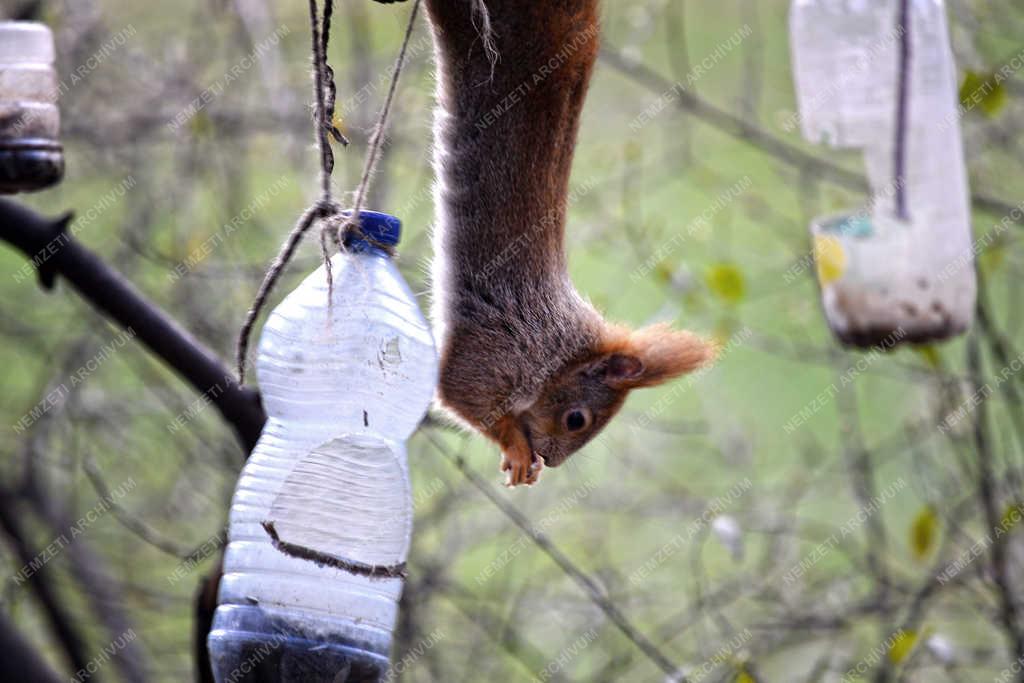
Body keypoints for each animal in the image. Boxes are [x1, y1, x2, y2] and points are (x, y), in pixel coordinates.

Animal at [411, 2, 716, 489]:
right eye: (577, 420)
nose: (552, 461)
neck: (557, 347)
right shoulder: (495, 353)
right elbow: (461, 396)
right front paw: (516, 447)